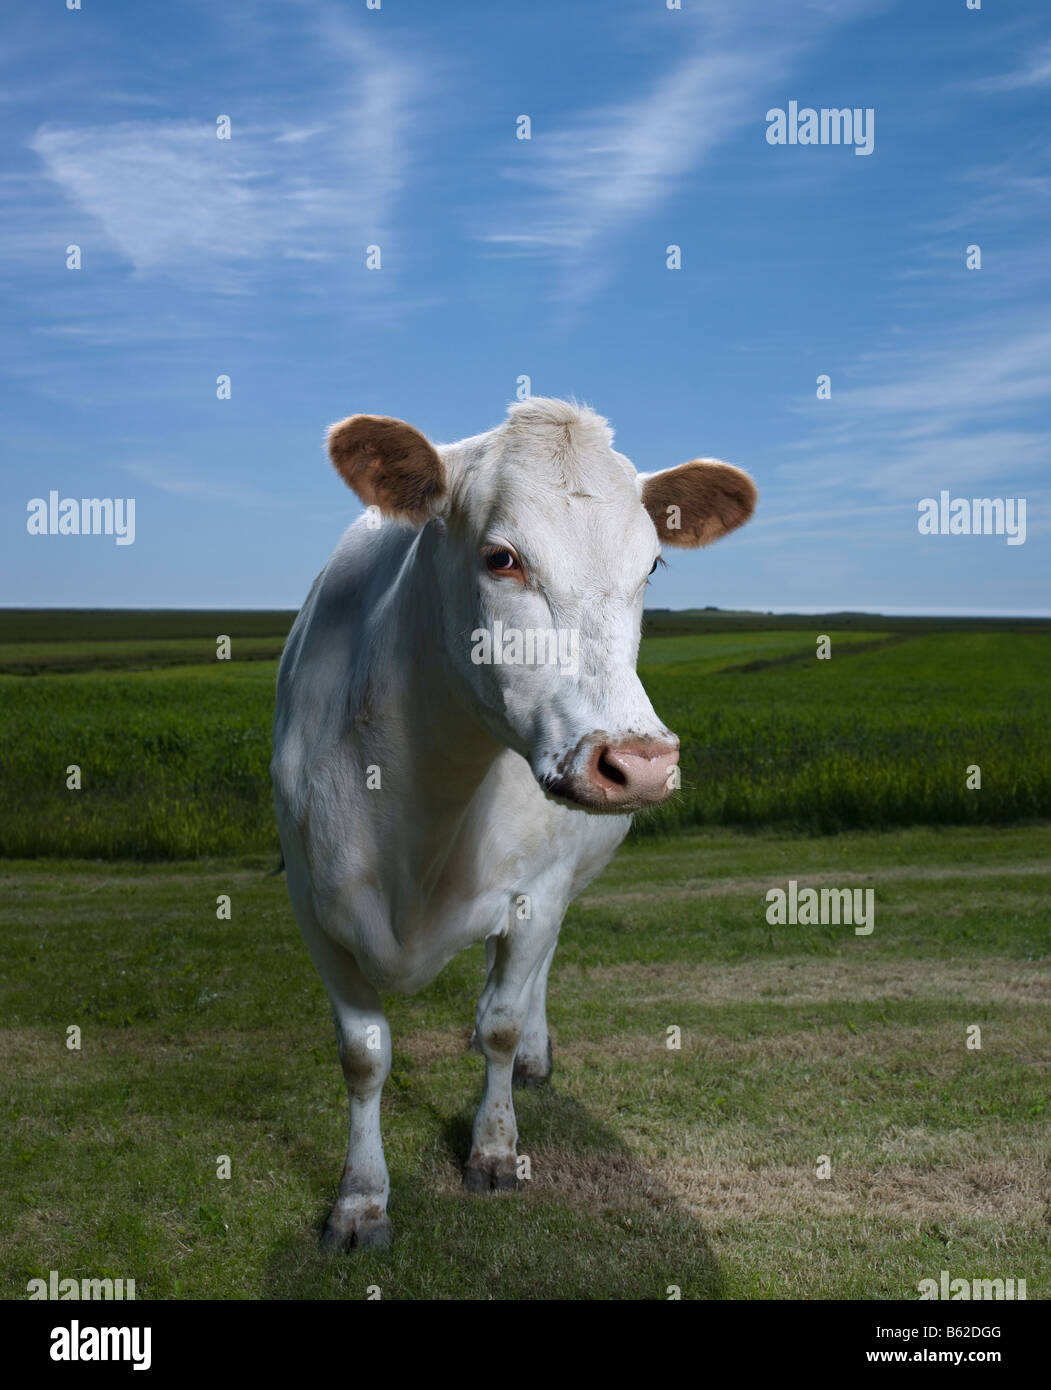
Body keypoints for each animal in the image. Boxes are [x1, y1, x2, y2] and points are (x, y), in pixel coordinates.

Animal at [271, 394, 756, 1251]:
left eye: (650, 567)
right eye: (502, 558)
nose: (639, 762)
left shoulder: (536, 891)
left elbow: (499, 1019)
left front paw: (493, 1147)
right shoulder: (313, 901)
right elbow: (363, 1055)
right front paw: (360, 1199)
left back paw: (531, 1051)